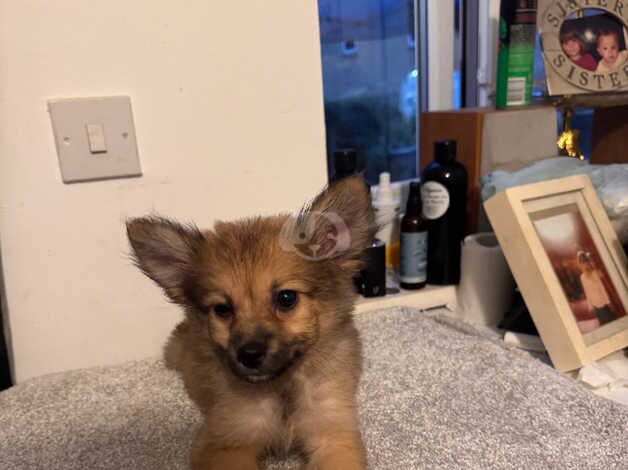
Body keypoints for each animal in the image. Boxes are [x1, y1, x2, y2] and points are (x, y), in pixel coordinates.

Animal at [125, 177, 376, 470]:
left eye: (286, 298)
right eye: (222, 309)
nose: (249, 355)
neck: (282, 388)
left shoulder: (333, 433)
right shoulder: (227, 439)